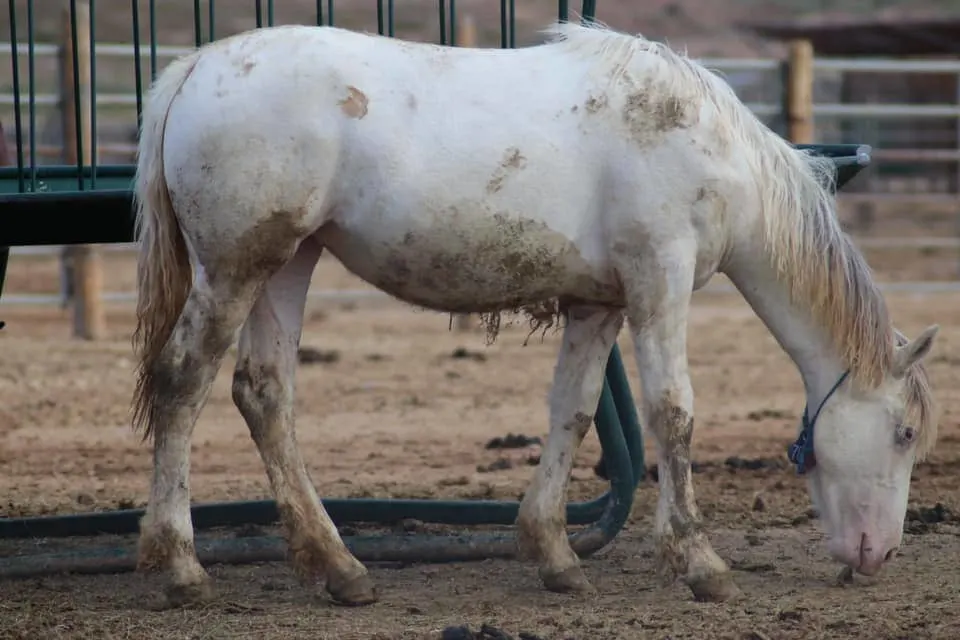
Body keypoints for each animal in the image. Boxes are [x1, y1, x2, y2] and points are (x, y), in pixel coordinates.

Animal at [129, 20, 936, 608]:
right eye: (902, 433)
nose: (879, 554)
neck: (707, 144)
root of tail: (195, 68)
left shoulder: (598, 305)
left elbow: (572, 412)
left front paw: (554, 556)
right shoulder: (660, 283)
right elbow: (673, 413)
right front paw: (699, 562)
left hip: (288, 265)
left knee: (264, 395)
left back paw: (339, 567)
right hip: (235, 270)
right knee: (182, 383)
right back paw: (181, 568)